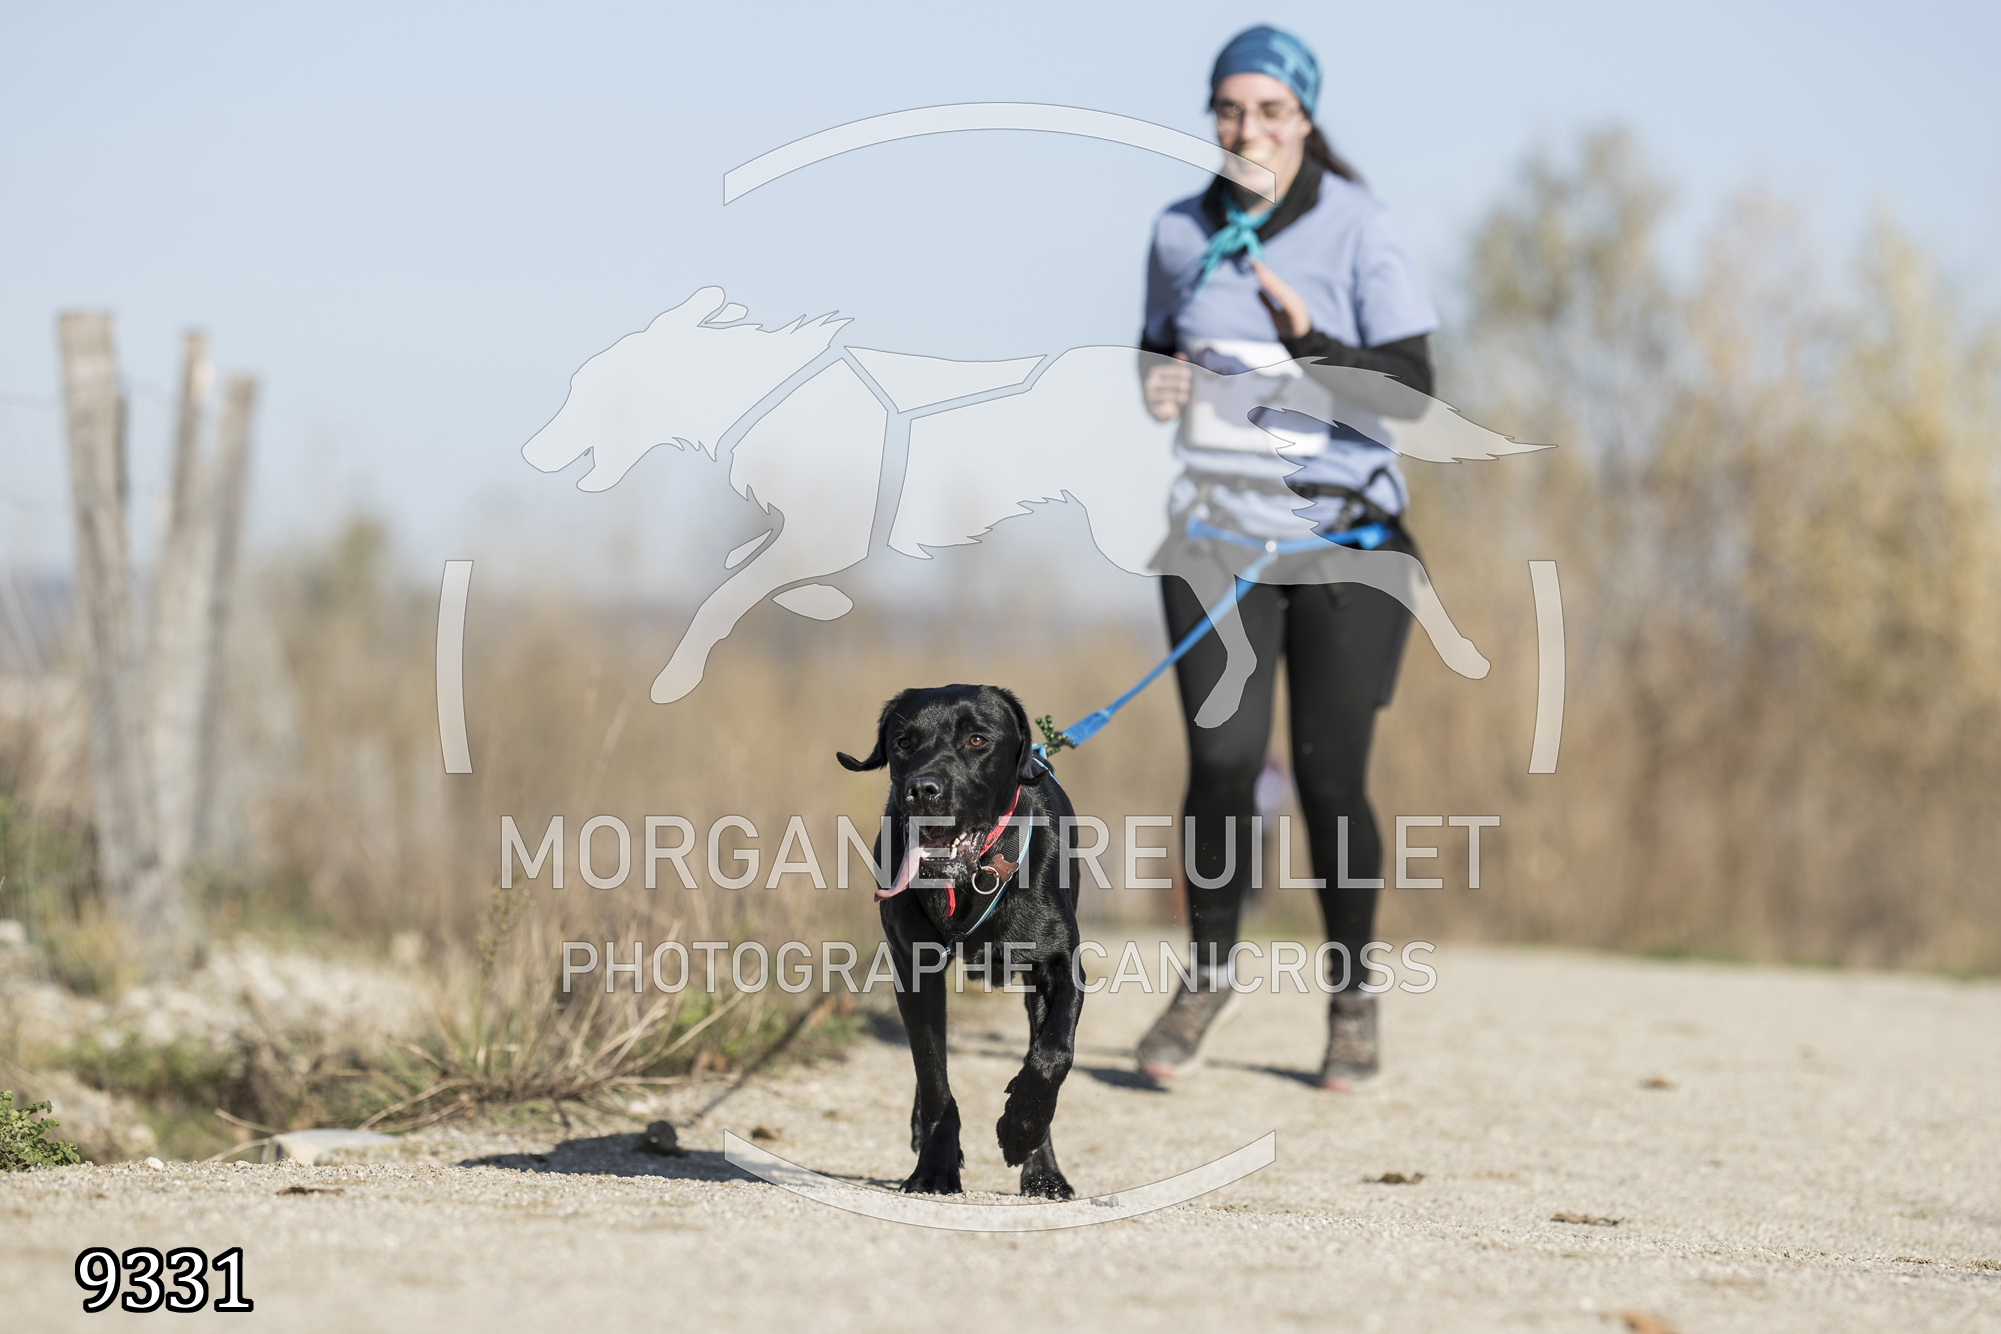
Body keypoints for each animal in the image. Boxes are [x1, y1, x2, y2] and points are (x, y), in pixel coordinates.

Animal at [838, 684, 1083, 1198]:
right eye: (903, 743)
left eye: (976, 739)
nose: (922, 790)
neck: (973, 878)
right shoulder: (914, 968)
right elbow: (934, 1077)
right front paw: (934, 1166)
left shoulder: (1058, 964)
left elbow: (1053, 1053)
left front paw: (1022, 1128)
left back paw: (1043, 1170)